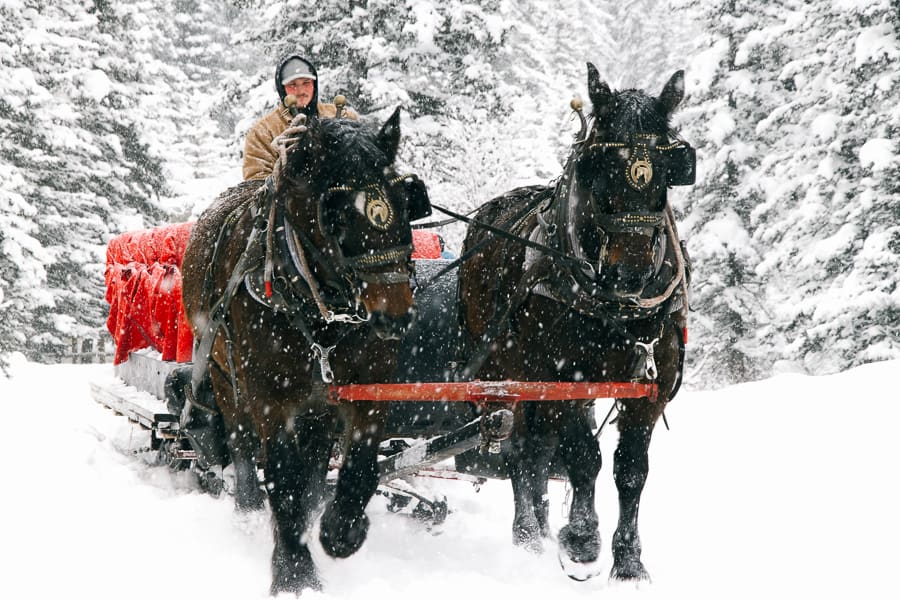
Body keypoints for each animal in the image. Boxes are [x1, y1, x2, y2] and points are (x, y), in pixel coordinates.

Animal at [181, 109, 430, 596]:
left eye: (405, 199)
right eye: (336, 214)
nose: (395, 316)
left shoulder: (368, 384)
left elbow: (360, 464)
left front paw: (341, 529)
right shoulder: (270, 396)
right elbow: (283, 473)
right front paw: (293, 569)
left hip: (316, 403)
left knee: (315, 459)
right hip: (222, 374)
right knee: (242, 444)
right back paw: (249, 510)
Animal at [460, 64, 692, 580]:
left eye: (669, 171)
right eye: (599, 167)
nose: (630, 271)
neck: (615, 306)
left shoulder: (652, 382)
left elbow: (631, 469)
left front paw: (629, 562)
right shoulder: (565, 377)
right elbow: (584, 458)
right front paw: (583, 539)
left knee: (538, 450)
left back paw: (541, 528)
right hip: (512, 374)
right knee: (520, 447)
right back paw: (528, 534)